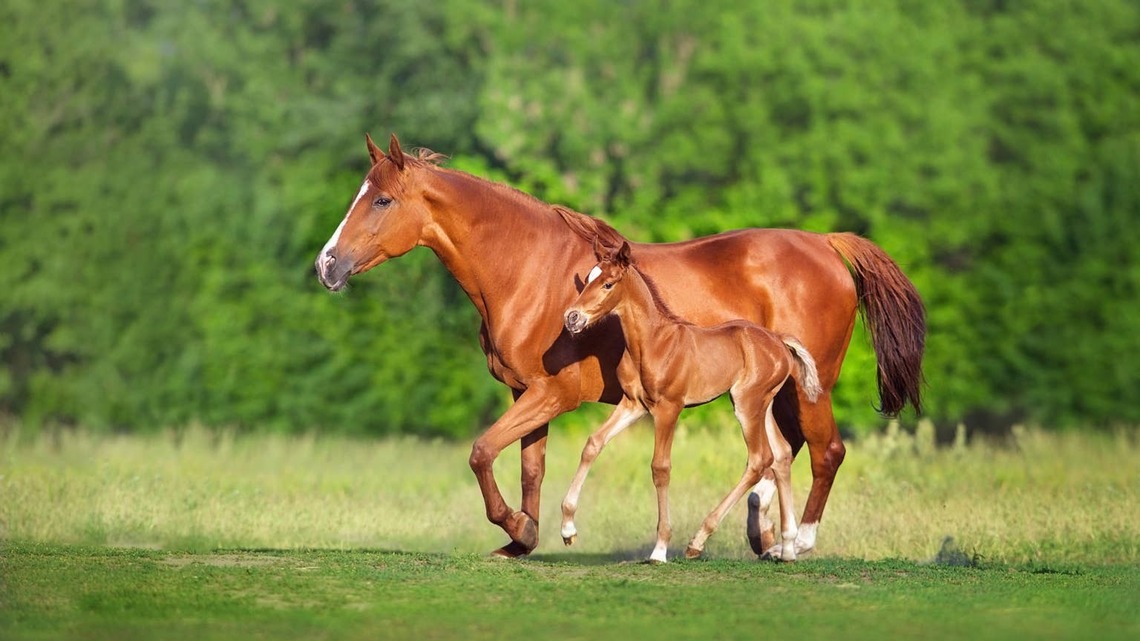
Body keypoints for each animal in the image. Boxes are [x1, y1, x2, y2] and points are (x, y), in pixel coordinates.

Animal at [560, 240, 824, 562]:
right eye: (587, 280)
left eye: (608, 284)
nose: (572, 318)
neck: (653, 343)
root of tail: (778, 340)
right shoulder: (633, 405)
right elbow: (593, 444)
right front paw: (567, 528)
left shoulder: (668, 408)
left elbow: (660, 468)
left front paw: (660, 548)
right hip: (764, 404)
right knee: (782, 454)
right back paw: (786, 548)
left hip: (746, 404)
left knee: (760, 459)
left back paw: (698, 541)